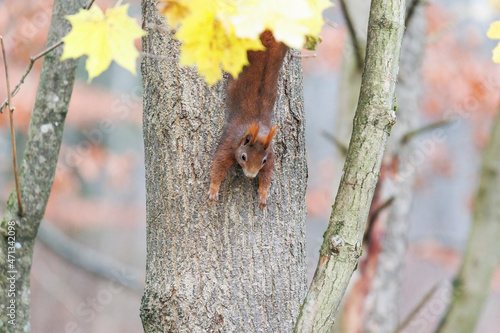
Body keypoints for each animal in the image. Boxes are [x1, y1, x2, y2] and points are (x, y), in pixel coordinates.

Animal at [209, 30, 292, 208]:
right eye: (243, 157)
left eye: (263, 160)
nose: (251, 175)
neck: (258, 132)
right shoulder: (230, 141)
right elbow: (218, 165)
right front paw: (213, 189)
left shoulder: (270, 151)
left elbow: (268, 174)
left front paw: (263, 194)